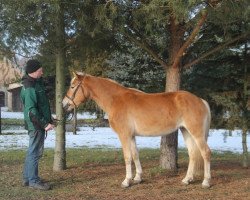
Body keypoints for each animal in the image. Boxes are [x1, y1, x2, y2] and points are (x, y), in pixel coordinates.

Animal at [62, 72, 211, 189]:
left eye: (72, 86)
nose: (64, 104)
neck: (115, 99)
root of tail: (201, 100)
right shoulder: (131, 136)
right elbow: (135, 155)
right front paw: (138, 178)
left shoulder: (124, 135)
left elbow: (127, 157)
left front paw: (126, 181)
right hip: (186, 131)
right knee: (193, 154)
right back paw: (187, 180)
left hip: (196, 134)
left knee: (205, 153)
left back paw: (206, 182)